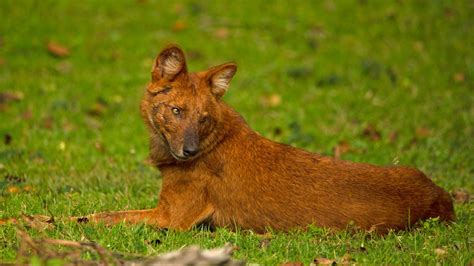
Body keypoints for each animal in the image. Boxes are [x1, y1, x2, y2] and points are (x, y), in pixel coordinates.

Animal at [2, 45, 456, 233]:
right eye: (176, 111)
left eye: (203, 118)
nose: (188, 150)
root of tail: (442, 195)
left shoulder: (171, 219)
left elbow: (93, 217)